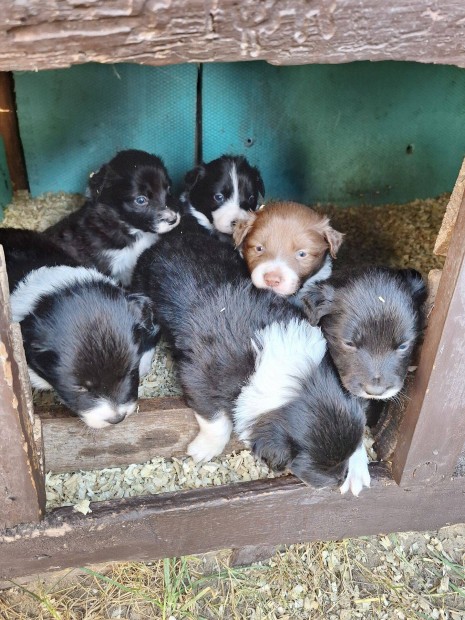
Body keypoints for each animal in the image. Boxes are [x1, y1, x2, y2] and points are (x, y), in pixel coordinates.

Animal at [130, 232, 366, 494]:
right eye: (319, 465)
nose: (340, 479)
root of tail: (172, 238)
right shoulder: (199, 375)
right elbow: (215, 418)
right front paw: (205, 449)